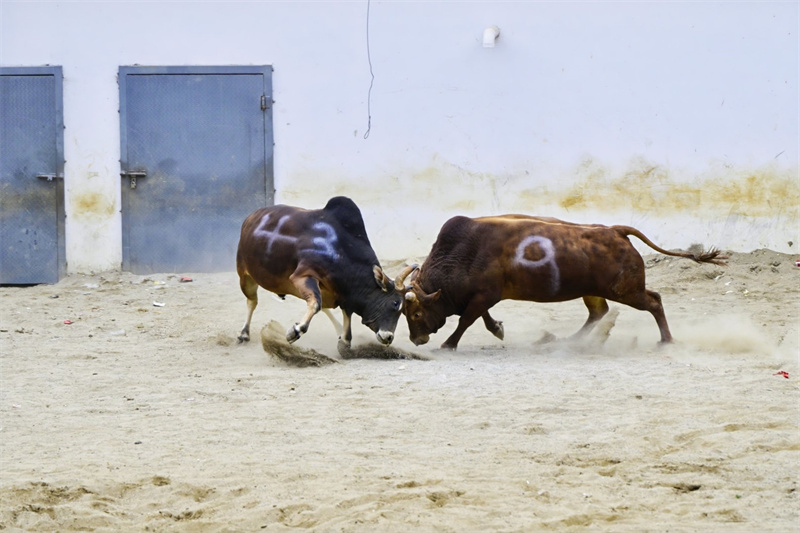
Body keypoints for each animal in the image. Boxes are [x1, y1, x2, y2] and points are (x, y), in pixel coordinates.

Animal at [236, 196, 417, 349]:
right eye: (395, 303)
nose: (389, 337)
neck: (339, 250)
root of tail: (251, 217)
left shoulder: (342, 294)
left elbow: (341, 313)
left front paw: (344, 340)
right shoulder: (302, 276)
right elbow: (316, 304)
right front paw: (296, 331)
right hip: (245, 275)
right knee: (252, 301)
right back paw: (244, 334)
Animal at [403, 215, 727, 350]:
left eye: (416, 314)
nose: (416, 340)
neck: (460, 256)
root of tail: (616, 231)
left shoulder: (486, 294)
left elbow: (467, 320)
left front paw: (448, 345)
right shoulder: (484, 295)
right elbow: (480, 316)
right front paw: (497, 329)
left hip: (626, 291)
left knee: (654, 302)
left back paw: (666, 340)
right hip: (596, 290)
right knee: (599, 312)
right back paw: (569, 340)